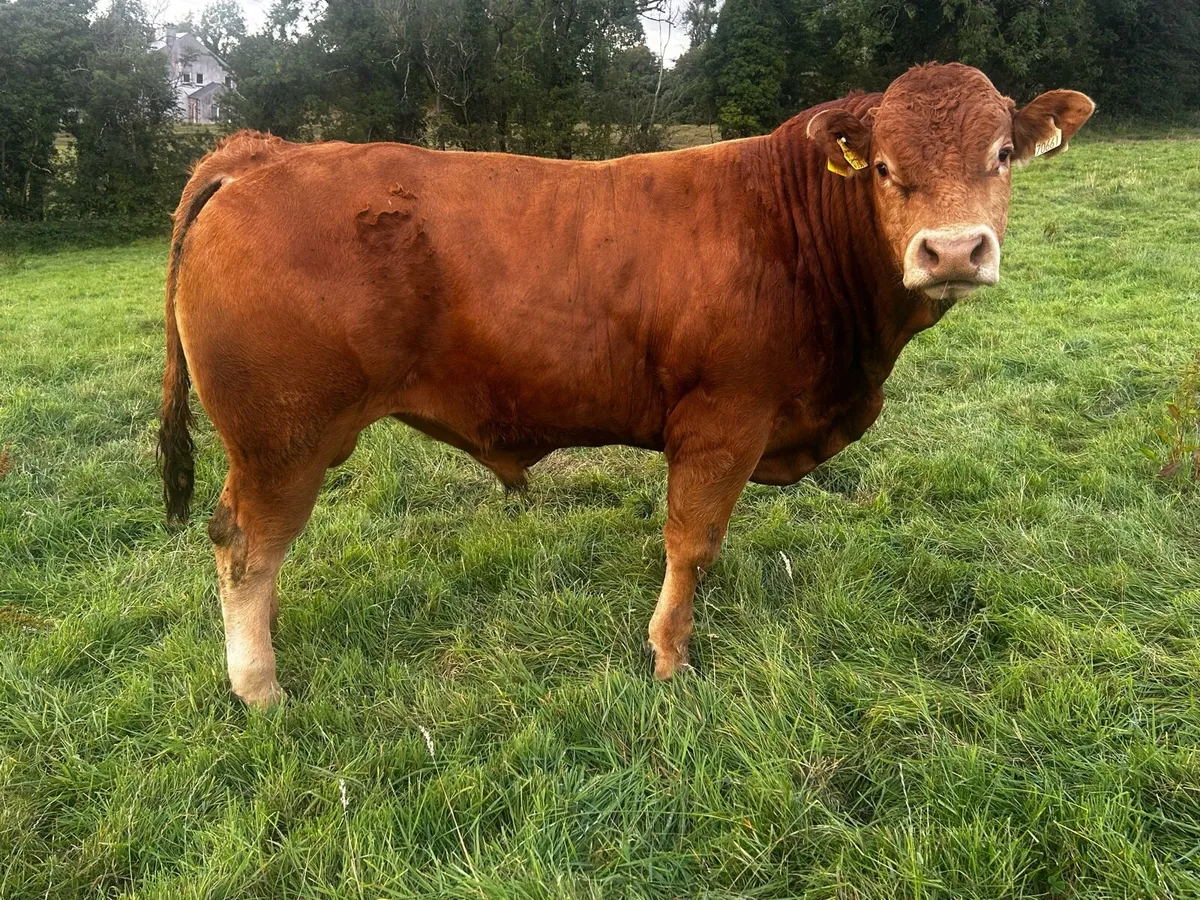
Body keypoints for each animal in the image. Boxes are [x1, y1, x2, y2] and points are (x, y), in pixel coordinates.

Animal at [158, 63, 1094, 706]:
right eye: (886, 169)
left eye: (1003, 154)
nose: (953, 250)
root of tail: (265, 153)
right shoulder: (724, 419)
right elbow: (693, 540)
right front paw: (671, 653)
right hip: (284, 438)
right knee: (245, 546)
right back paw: (259, 686)